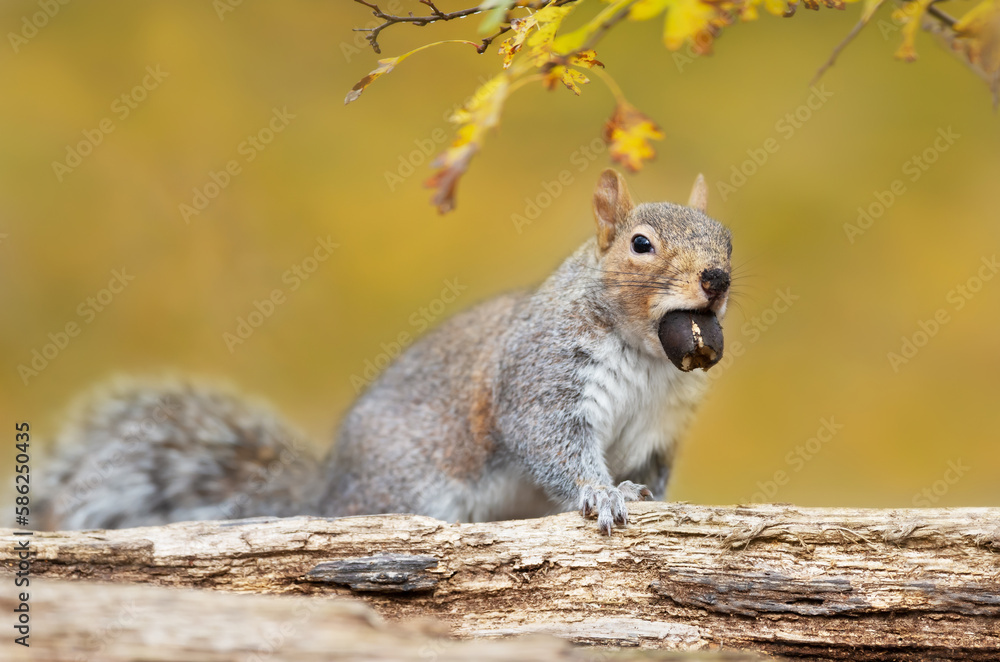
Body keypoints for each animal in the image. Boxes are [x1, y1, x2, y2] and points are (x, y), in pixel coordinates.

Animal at [41, 169, 733, 535]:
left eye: (727, 238)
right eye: (640, 244)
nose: (717, 279)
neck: (645, 355)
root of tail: (325, 496)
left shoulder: (658, 427)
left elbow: (651, 469)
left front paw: (650, 496)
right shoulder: (543, 374)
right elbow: (551, 443)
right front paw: (604, 494)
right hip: (408, 489)